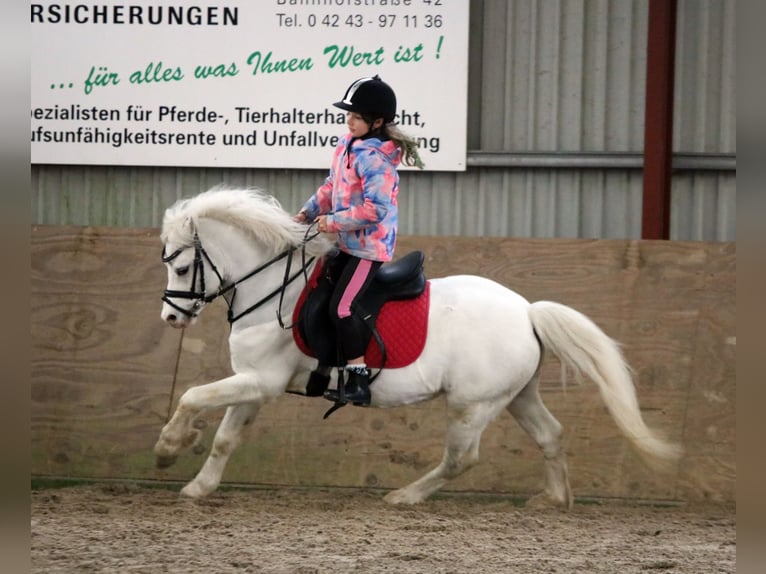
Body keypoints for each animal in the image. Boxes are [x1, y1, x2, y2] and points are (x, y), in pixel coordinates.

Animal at [153, 188, 680, 508]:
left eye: (181, 267)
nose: (172, 319)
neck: (273, 289)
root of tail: (527, 311)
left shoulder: (261, 380)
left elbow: (192, 396)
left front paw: (167, 448)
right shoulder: (256, 384)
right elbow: (225, 436)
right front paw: (198, 483)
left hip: (472, 405)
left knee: (462, 458)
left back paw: (405, 496)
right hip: (516, 396)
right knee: (550, 435)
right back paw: (552, 500)